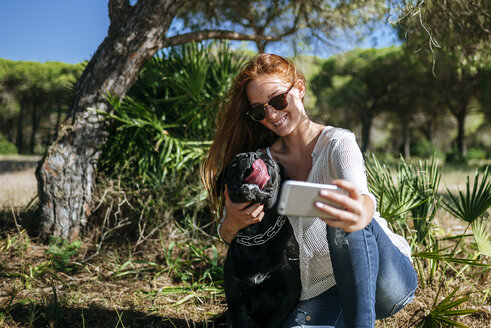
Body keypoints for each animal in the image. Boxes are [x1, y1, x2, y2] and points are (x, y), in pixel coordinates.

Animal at [223, 152, 300, 328]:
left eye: (268, 163)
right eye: (235, 161)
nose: (250, 156)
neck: (255, 236)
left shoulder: (289, 295)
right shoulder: (236, 301)